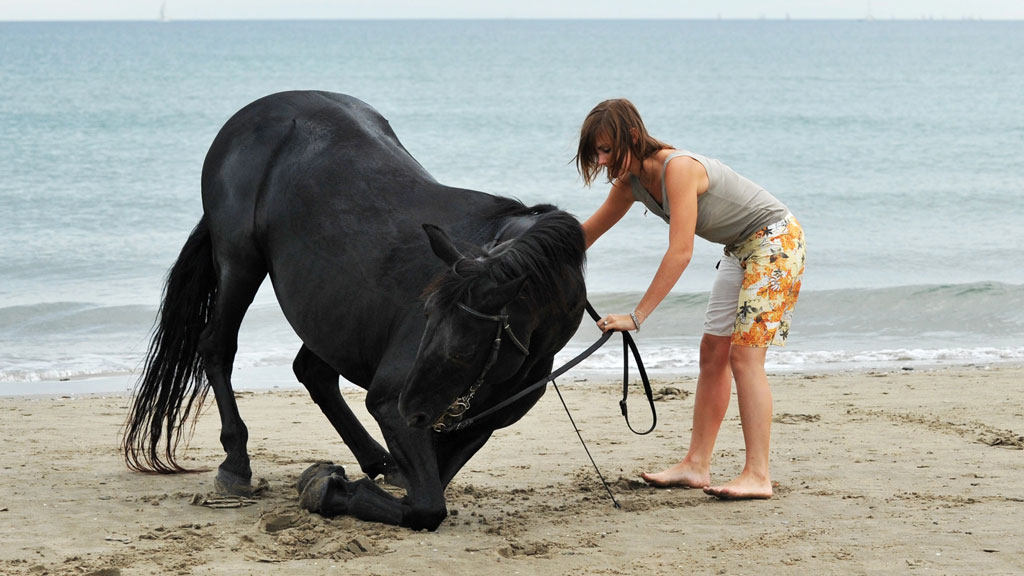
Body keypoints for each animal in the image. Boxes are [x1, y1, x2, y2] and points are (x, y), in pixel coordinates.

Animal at [119, 90, 585, 528]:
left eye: (462, 349)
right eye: (427, 321)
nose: (411, 408)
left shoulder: (477, 424)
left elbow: (429, 492)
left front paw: (335, 483)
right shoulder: (391, 402)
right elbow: (427, 507)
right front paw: (327, 489)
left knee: (314, 371)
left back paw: (375, 460)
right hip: (239, 262)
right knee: (217, 346)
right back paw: (236, 465)